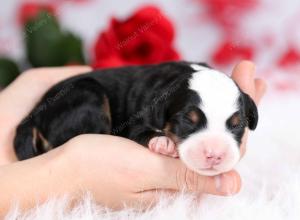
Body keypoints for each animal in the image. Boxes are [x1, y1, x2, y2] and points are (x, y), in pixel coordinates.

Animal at [14, 61, 258, 176]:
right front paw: (162, 141)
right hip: (87, 93)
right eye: (188, 121)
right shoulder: (135, 120)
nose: (215, 155)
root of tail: (35, 112)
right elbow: (140, 131)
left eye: (237, 125)